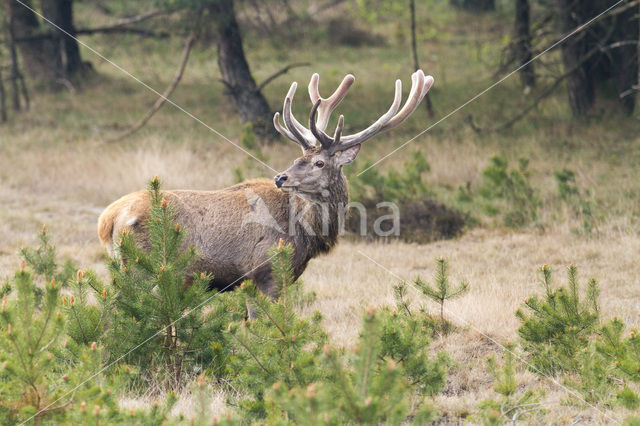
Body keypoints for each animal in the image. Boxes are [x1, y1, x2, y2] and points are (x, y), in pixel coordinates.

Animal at [96, 70, 436, 298]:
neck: (306, 235)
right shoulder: (266, 272)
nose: (280, 177)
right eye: (302, 157)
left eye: (318, 162)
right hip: (139, 266)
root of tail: (107, 220)